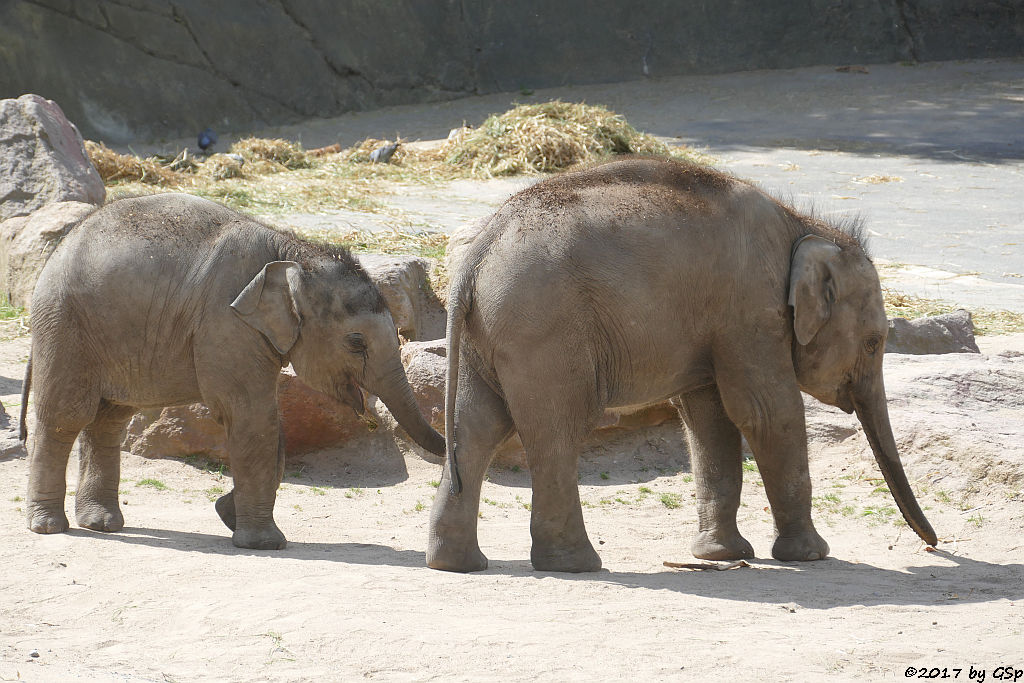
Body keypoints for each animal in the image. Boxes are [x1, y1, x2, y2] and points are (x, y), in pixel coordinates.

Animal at [20, 192, 444, 548]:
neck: (293, 251)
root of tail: (56, 253)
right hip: (65, 326)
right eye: (356, 343)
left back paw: (102, 523)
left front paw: (228, 515)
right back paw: (49, 527)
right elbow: (250, 415)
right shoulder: (226, 321)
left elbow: (265, 421)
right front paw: (264, 543)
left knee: (109, 420)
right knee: (65, 416)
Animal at [428, 157, 937, 573]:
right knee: (558, 431)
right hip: (545, 332)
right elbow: (768, 412)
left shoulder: (717, 327)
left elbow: (709, 420)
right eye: (873, 343)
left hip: (488, 337)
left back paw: (459, 564)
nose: (933, 546)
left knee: (477, 427)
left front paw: (723, 555)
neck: (802, 227)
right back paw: (577, 564)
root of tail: (476, 256)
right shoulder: (750, 310)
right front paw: (812, 555)